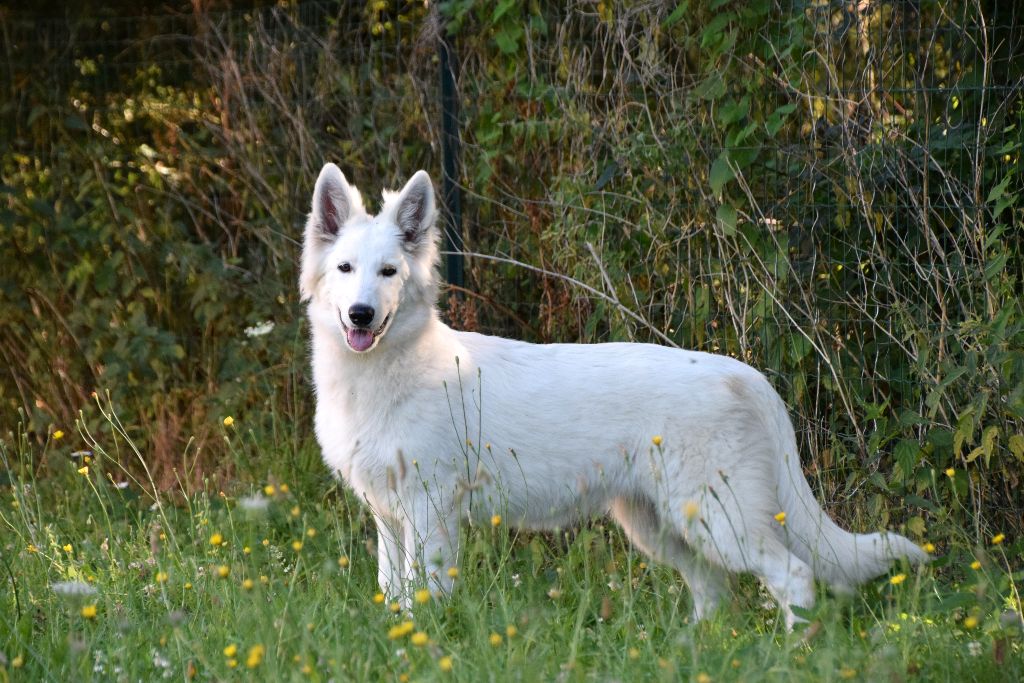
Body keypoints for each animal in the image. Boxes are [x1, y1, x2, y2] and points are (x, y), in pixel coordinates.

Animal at [299, 163, 929, 630]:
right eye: (346, 268)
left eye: (388, 272)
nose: (361, 315)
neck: (384, 375)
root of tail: (744, 374)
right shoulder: (387, 516)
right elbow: (393, 592)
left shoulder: (432, 512)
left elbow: (425, 592)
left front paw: (426, 641)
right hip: (662, 526)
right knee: (715, 592)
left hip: (721, 523)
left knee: (791, 574)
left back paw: (795, 649)